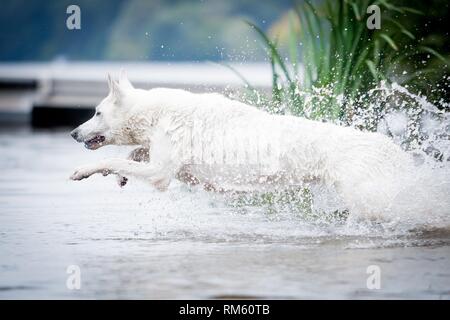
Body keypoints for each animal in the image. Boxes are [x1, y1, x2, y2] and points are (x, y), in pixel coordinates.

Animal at [71, 72, 414, 218]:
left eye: (97, 112)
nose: (73, 133)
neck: (157, 113)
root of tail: (393, 150)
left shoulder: (160, 174)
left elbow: (116, 159)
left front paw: (84, 171)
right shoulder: (160, 161)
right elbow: (132, 154)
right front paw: (120, 176)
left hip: (370, 200)